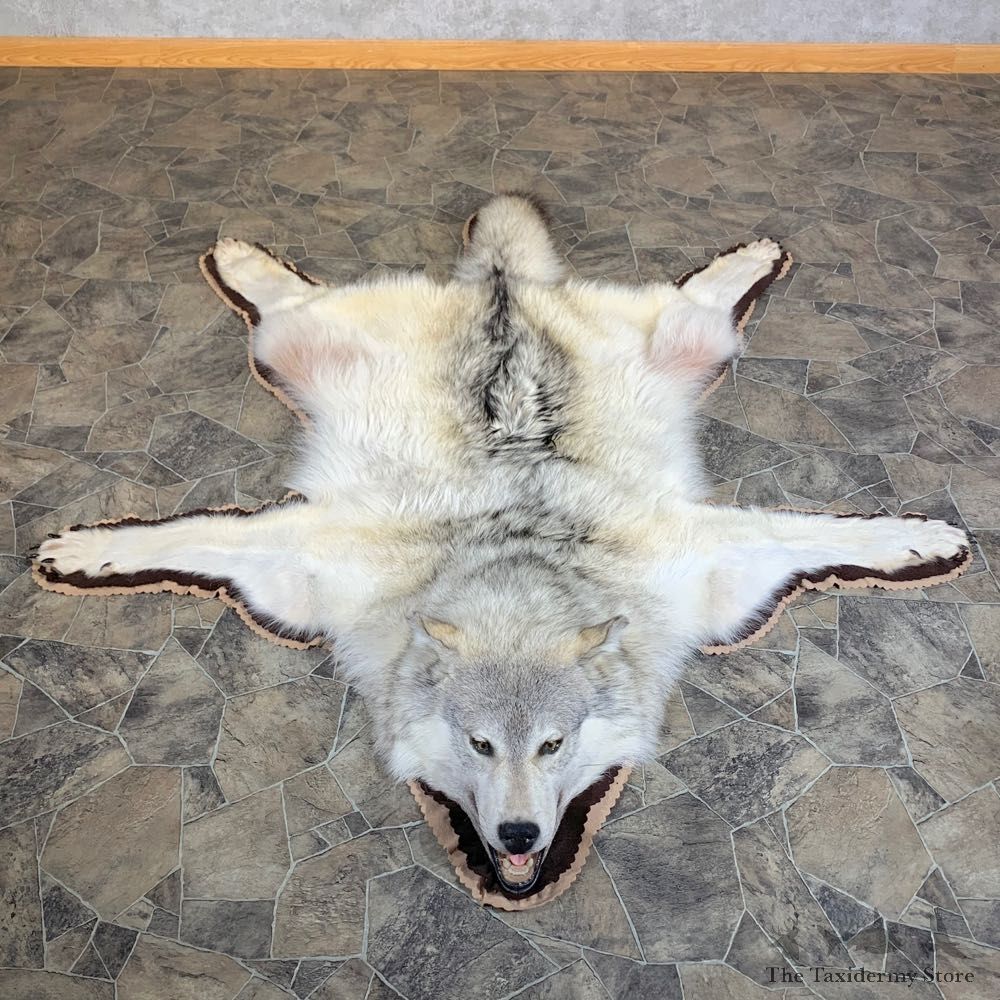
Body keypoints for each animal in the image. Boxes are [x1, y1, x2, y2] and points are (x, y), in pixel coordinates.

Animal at [36, 193, 970, 896]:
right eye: (481, 745)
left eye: (552, 745)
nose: (519, 834)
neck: (514, 569)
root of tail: (504, 288)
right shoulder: (309, 559)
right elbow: (188, 534)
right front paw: (87, 556)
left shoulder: (707, 560)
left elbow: (817, 528)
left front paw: (921, 539)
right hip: (298, 345)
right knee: (287, 297)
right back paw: (237, 258)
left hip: (695, 342)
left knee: (701, 297)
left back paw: (753, 256)